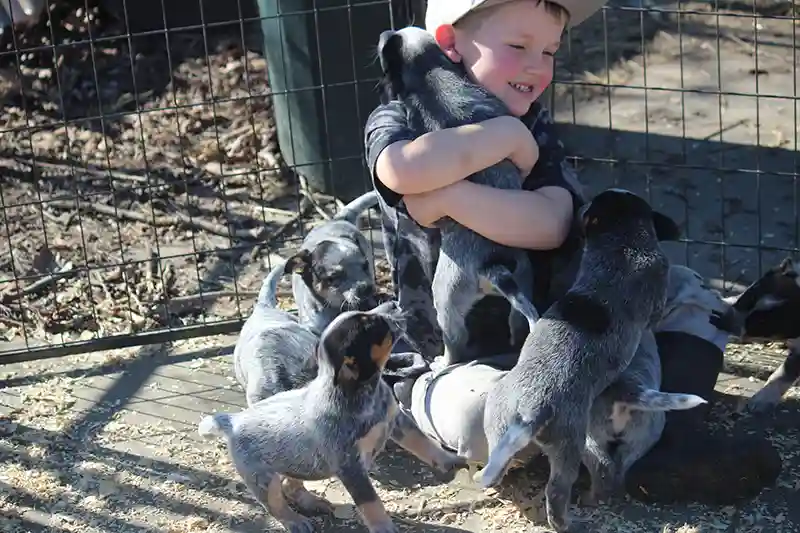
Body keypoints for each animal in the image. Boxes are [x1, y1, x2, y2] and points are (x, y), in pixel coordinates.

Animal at [198, 300, 468, 532]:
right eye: (371, 324)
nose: (393, 303)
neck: (363, 393)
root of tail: (232, 421)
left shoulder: (396, 421)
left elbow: (423, 443)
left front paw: (449, 460)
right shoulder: (350, 466)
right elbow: (371, 503)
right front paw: (384, 528)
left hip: (292, 463)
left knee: (291, 485)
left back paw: (312, 503)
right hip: (263, 479)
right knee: (275, 503)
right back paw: (296, 521)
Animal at [378, 26, 540, 366]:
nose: (387, 31)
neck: (429, 71)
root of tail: (493, 264)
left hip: (446, 296)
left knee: (454, 339)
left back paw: (444, 361)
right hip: (524, 276)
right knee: (519, 320)